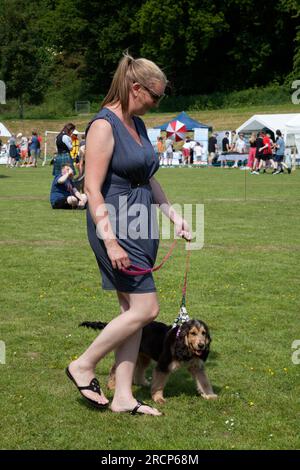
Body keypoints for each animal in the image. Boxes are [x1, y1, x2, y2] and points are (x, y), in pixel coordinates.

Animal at [81, 320, 218, 404]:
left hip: (143, 355)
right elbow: (159, 384)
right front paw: (158, 398)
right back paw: (112, 385)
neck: (185, 347)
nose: (202, 346)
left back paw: (143, 382)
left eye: (204, 333)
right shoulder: (163, 365)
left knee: (140, 369)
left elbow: (204, 381)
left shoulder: (197, 366)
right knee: (114, 368)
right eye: (193, 333)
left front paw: (209, 395)